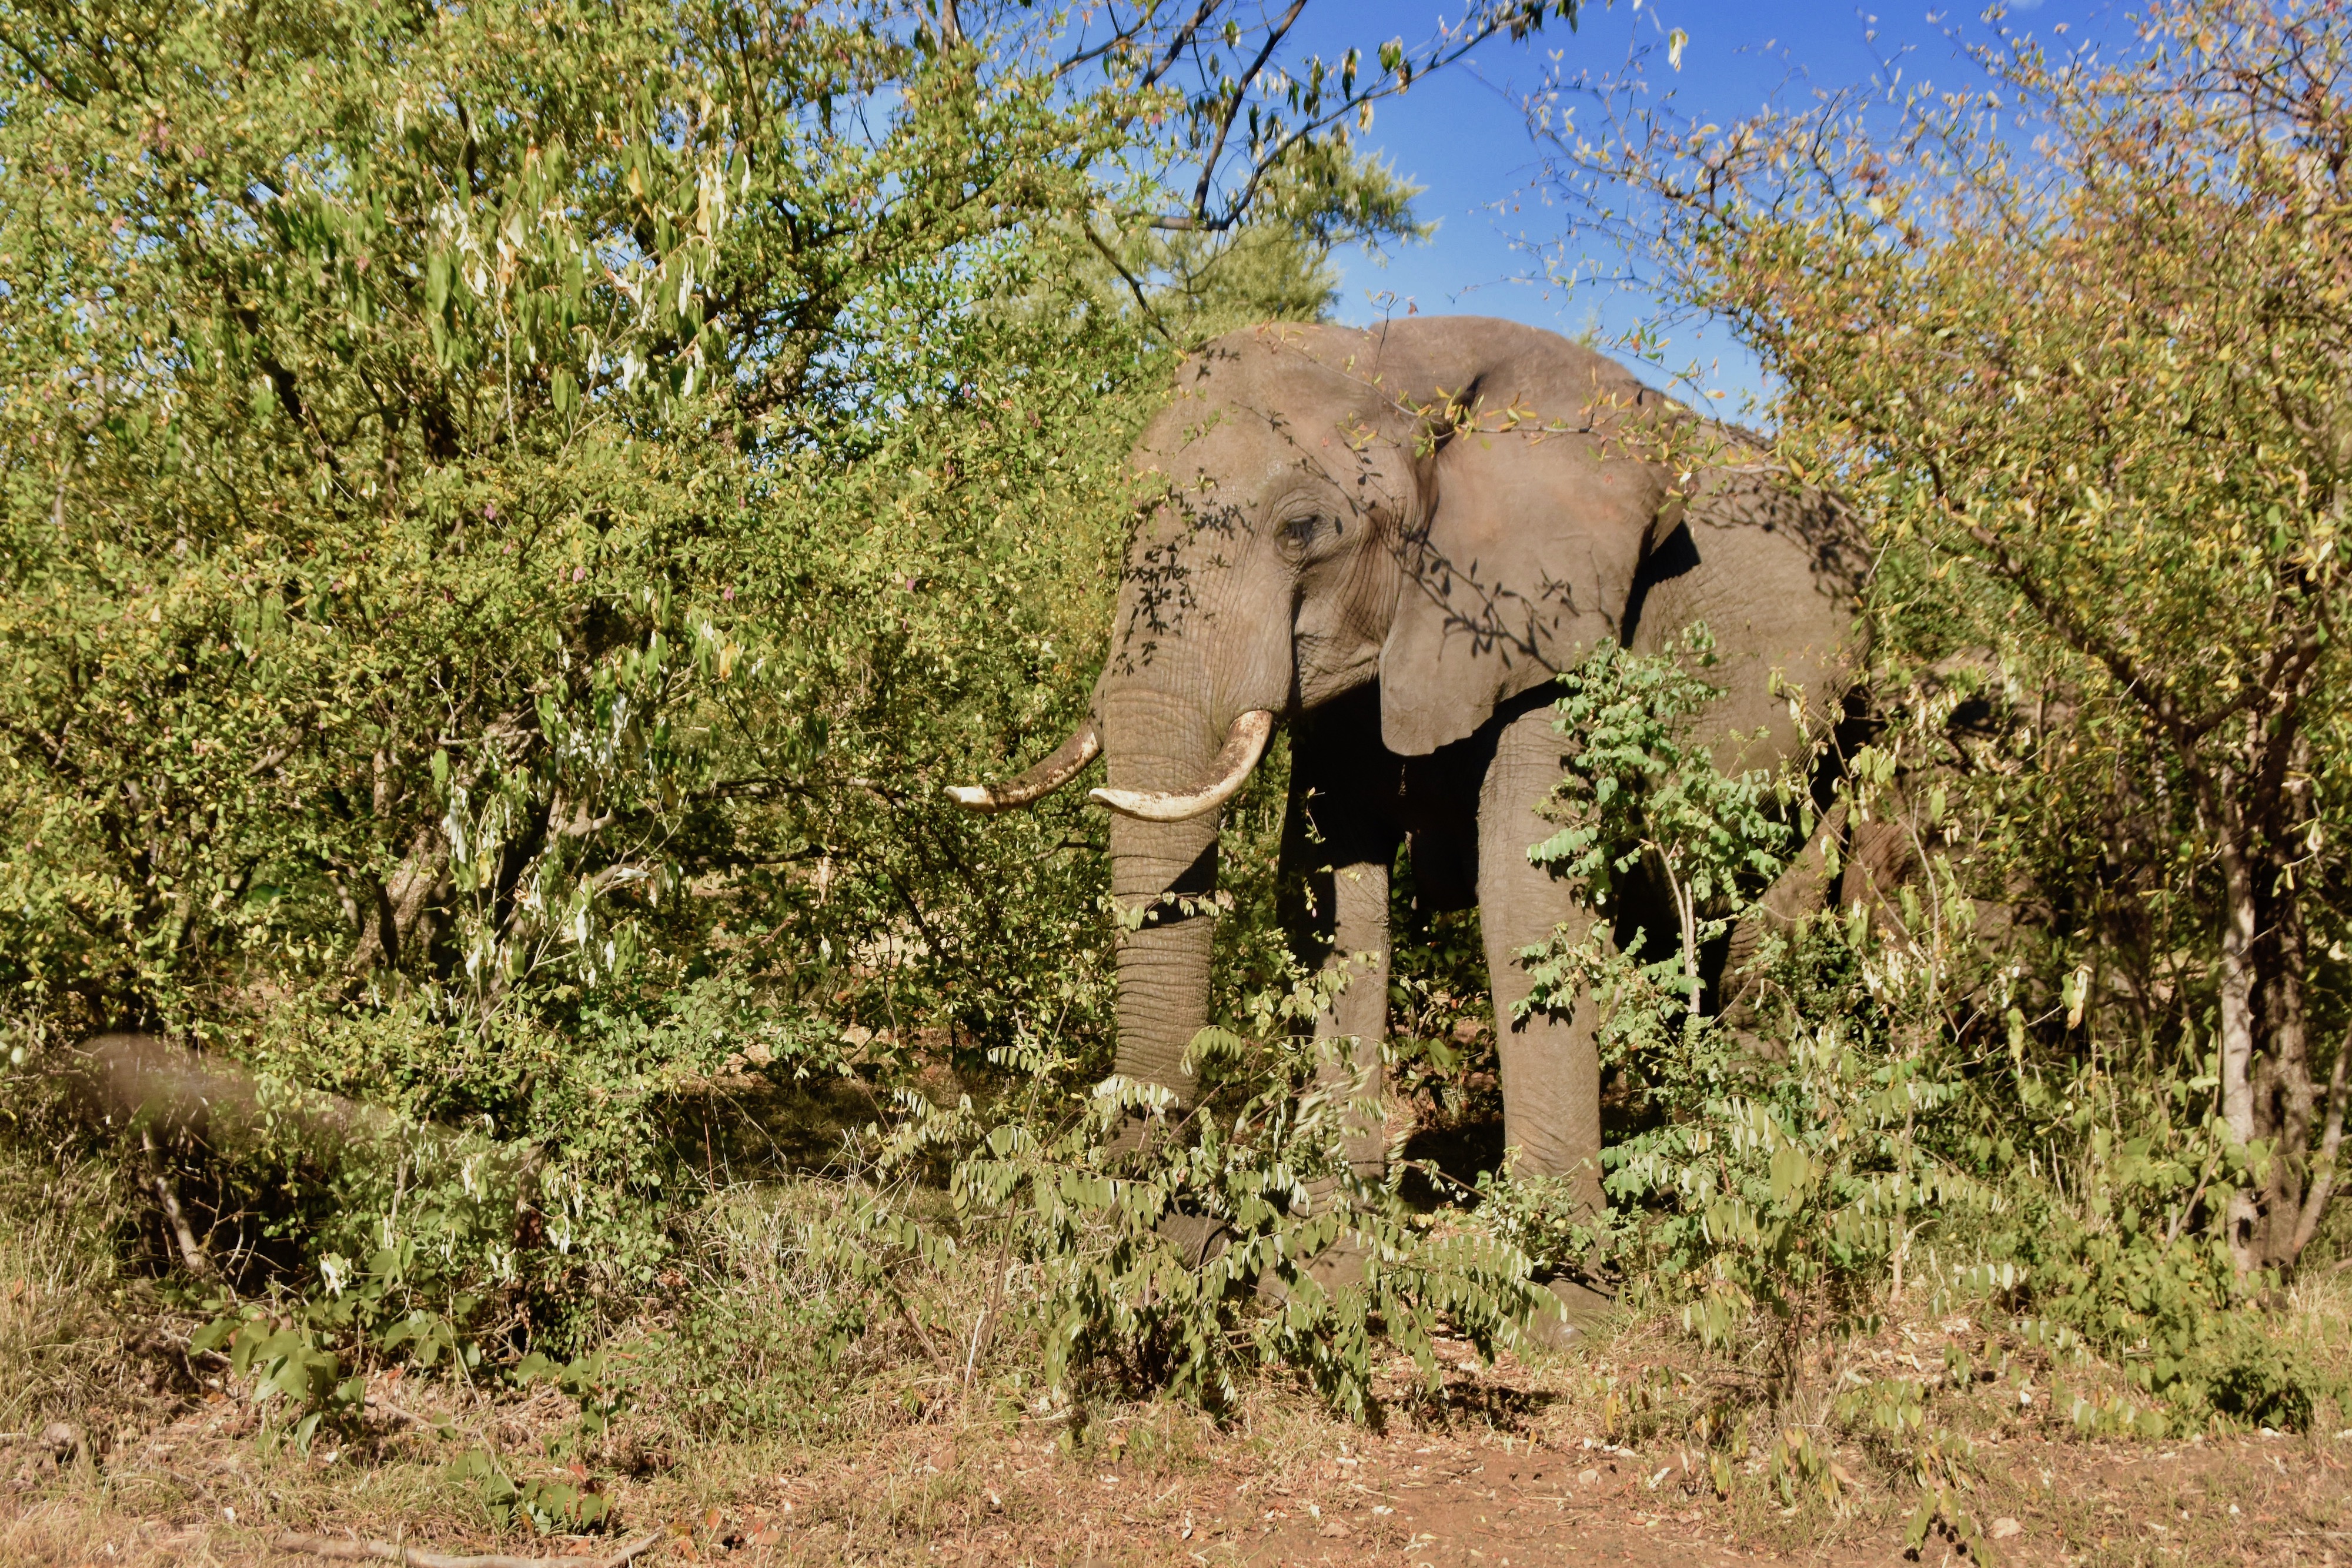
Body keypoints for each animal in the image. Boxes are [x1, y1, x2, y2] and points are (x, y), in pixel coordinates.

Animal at [946, 312, 1863, 1316]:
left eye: (1302, 529)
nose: (1189, 1235)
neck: (1395, 367)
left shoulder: (1548, 619)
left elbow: (1527, 892)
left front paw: (1560, 1288)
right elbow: (1327, 893)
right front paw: (1331, 1239)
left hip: (1845, 721)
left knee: (1775, 917)